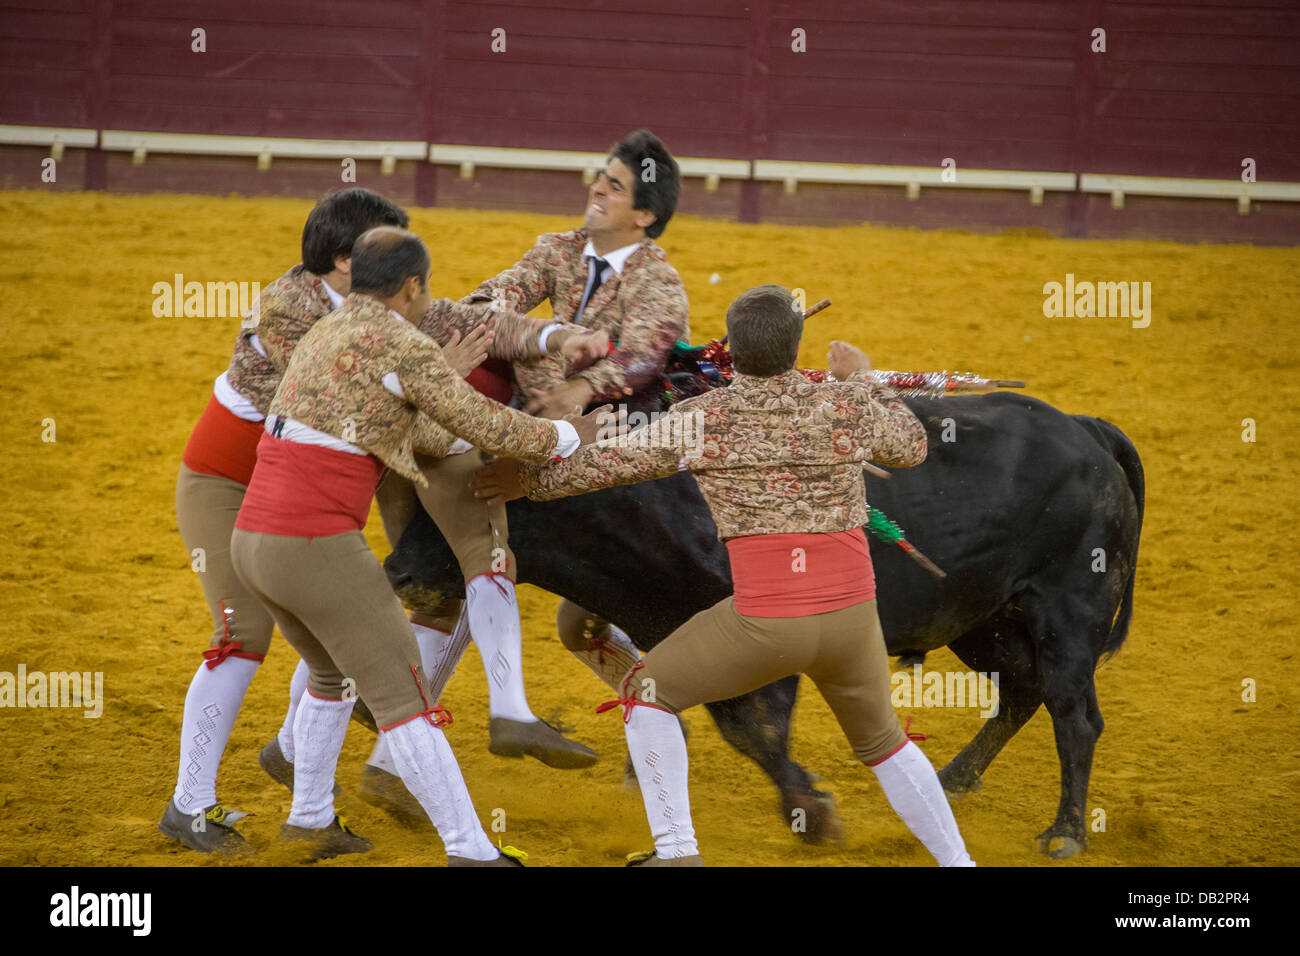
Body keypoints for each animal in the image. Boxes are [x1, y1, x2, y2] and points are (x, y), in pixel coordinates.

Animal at [379, 392, 1144, 863]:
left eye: (471, 506)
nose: (399, 574)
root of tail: (1085, 428)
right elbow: (734, 726)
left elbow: (758, 730)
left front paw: (814, 811)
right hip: (986, 620)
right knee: (1022, 693)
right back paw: (955, 779)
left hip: (1067, 610)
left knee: (1074, 714)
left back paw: (1065, 833)